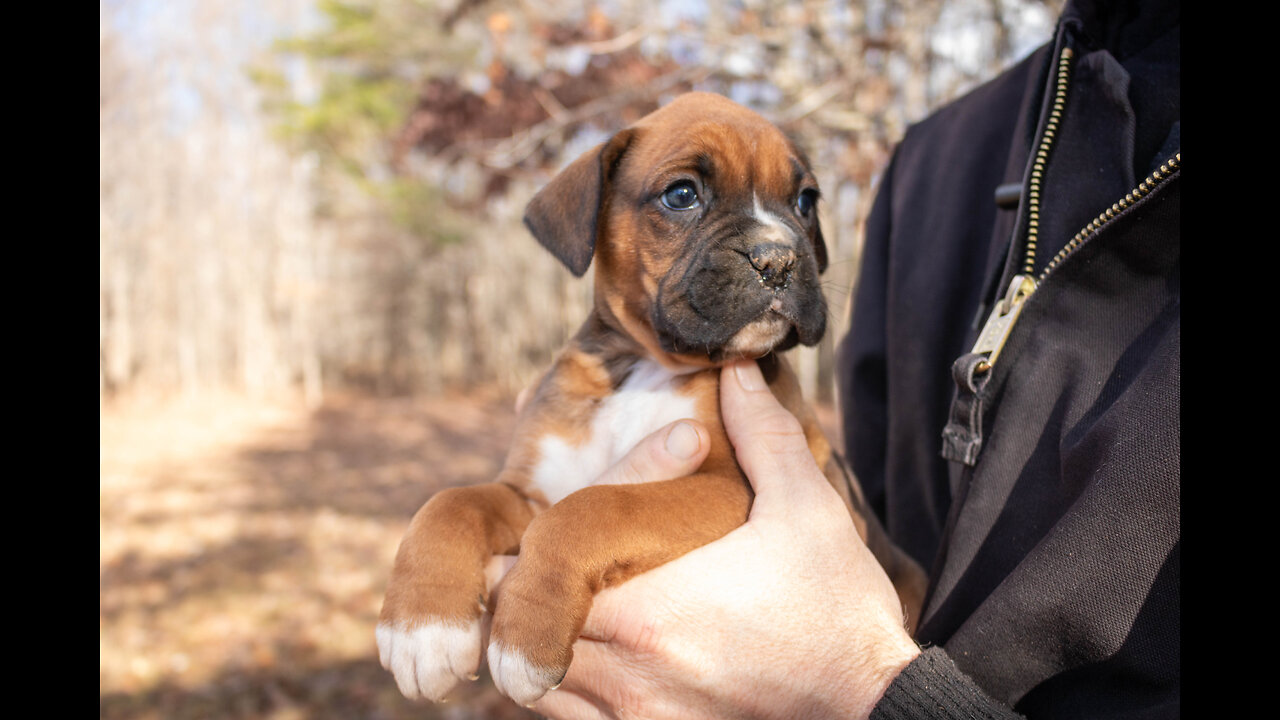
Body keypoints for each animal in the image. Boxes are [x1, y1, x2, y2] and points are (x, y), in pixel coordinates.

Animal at [373, 92, 926, 702]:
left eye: (804, 202)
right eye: (681, 195)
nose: (779, 259)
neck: (646, 365)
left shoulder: (726, 485)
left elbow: (593, 508)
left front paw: (526, 638)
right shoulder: (532, 491)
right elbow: (452, 502)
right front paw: (421, 628)